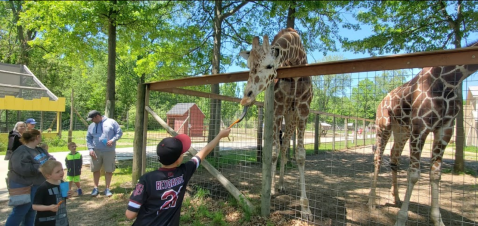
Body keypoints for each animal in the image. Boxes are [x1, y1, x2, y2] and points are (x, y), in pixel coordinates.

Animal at [239, 28, 314, 219]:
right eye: (248, 65)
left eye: (269, 66)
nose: (246, 98)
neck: (295, 58)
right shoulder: (278, 108)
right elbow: (272, 151)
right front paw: (270, 190)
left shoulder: (303, 109)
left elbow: (300, 155)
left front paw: (306, 209)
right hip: (280, 114)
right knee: (280, 147)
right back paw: (275, 185)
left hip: (291, 115)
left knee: (285, 145)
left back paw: (281, 183)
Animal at [368, 40, 478, 226]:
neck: (451, 80)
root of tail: (381, 102)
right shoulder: (420, 127)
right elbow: (414, 174)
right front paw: (401, 219)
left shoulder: (445, 129)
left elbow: (435, 174)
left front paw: (437, 220)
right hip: (384, 126)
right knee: (378, 157)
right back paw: (372, 201)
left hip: (402, 131)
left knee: (394, 156)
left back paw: (396, 198)